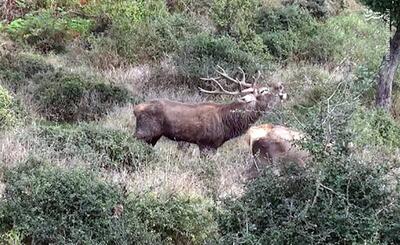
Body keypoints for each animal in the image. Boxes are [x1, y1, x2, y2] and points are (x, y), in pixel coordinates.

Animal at [134, 66, 288, 154]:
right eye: (263, 91)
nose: (281, 88)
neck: (227, 124)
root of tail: (135, 109)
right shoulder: (205, 143)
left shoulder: (214, 146)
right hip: (144, 132)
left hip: (153, 136)